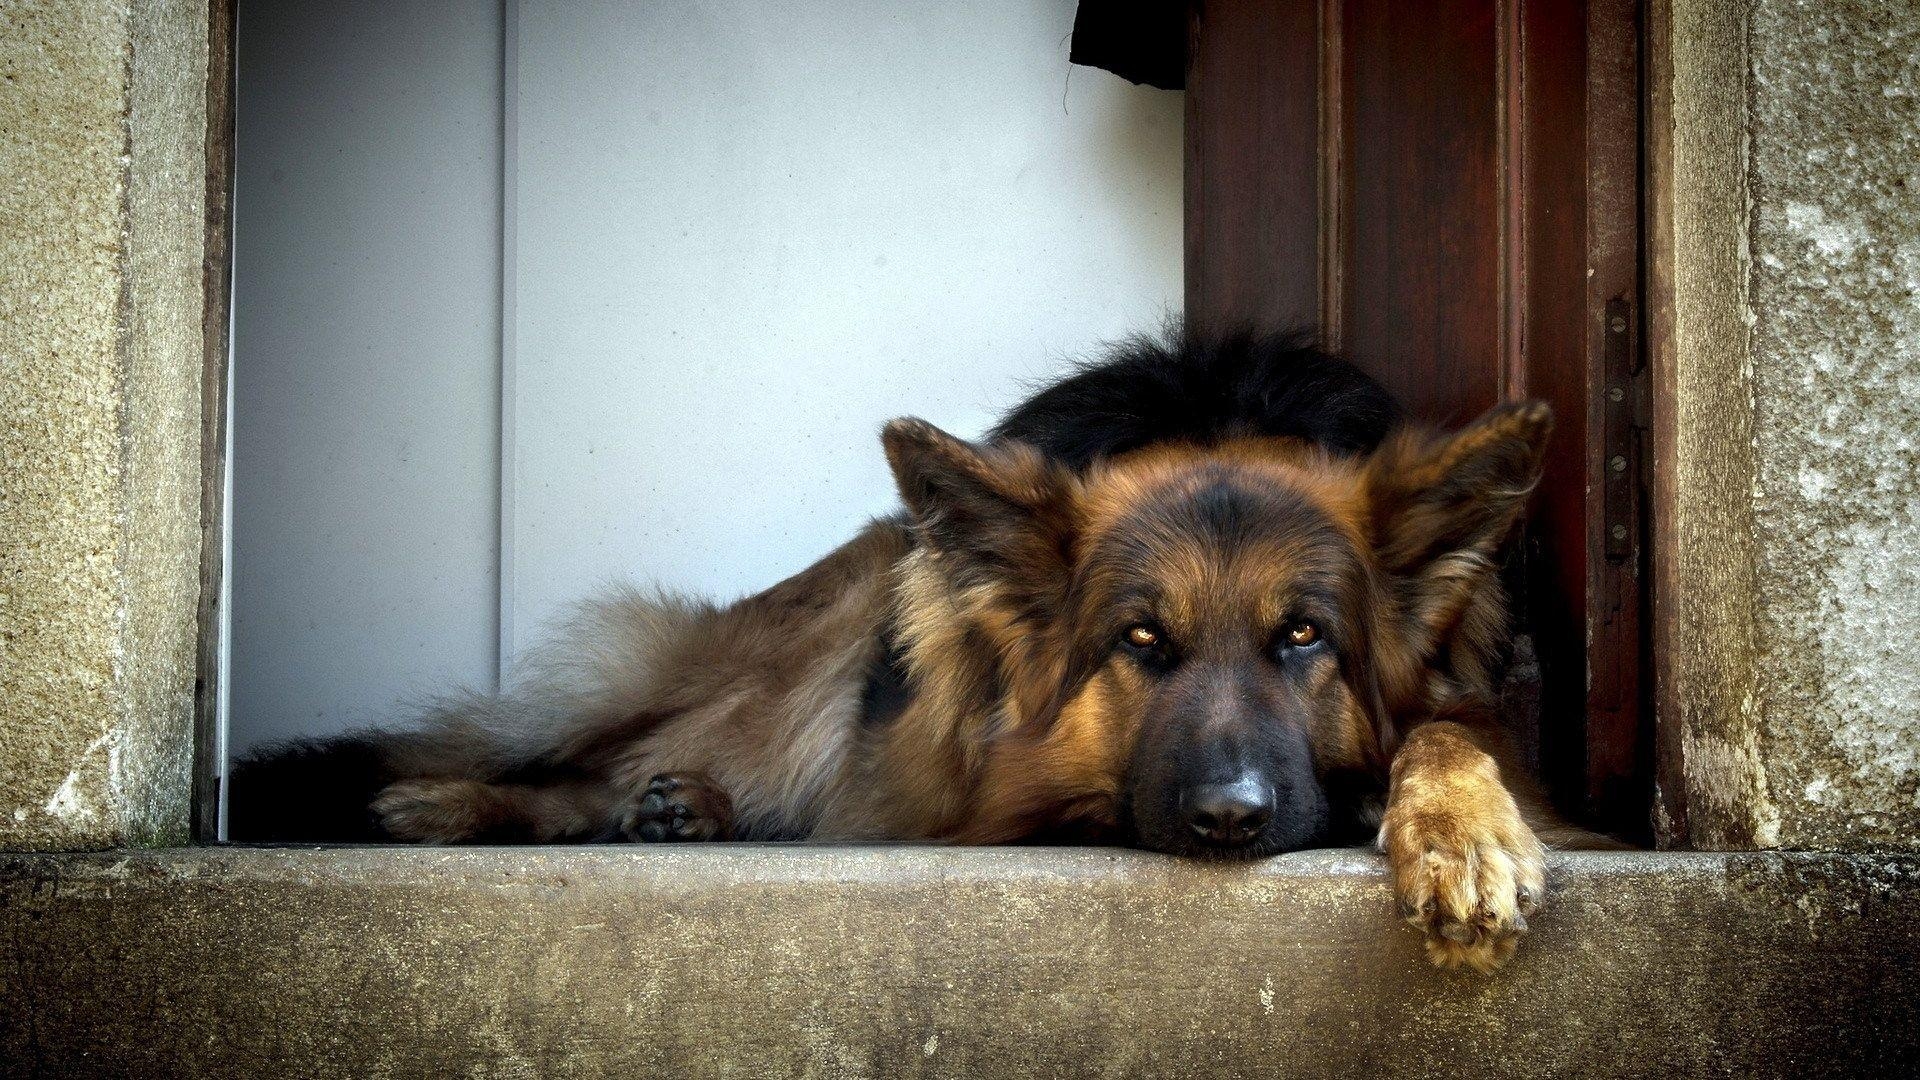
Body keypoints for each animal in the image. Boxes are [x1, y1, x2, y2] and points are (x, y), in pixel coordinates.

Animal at [232, 326, 1612, 968]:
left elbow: (1451, 732)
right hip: (811, 662)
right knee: (590, 759)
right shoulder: (980, 784)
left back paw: (682, 812)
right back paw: (472, 803)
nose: (1229, 817)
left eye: (1304, 638)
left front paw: (1460, 833)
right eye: (1141, 639)